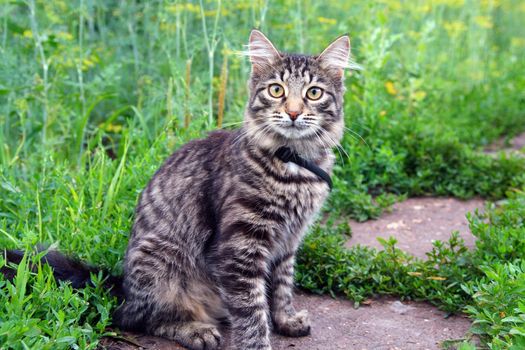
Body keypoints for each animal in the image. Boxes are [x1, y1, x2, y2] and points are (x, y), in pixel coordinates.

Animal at [115, 30, 352, 350]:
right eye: (276, 90)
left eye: (313, 93)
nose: (292, 113)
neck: (294, 165)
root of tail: (123, 294)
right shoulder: (239, 249)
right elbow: (252, 312)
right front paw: (259, 344)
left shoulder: (288, 241)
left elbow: (282, 287)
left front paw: (286, 320)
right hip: (159, 261)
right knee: (147, 319)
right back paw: (196, 331)